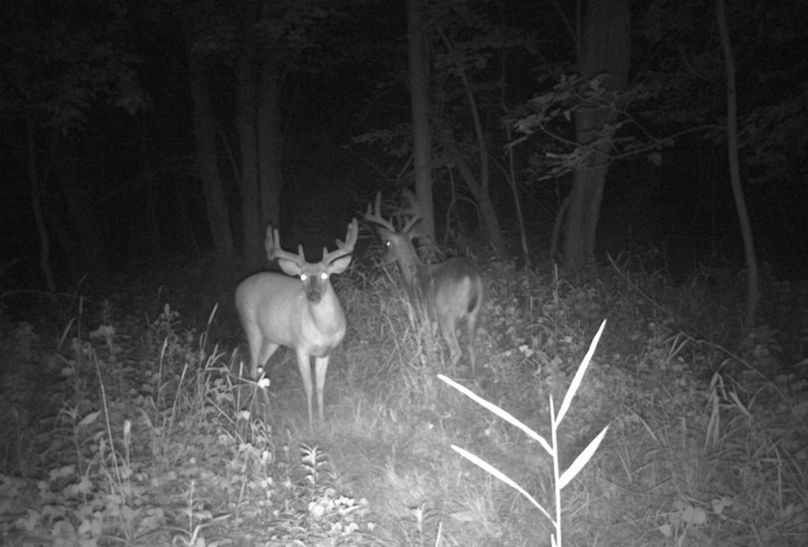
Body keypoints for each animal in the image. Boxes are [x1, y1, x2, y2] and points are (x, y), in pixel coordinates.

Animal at [234, 218, 358, 427]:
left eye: (325, 274)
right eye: (302, 276)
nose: (314, 295)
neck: (324, 330)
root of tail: (238, 288)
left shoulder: (326, 351)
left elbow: (320, 386)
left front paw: (322, 419)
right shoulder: (301, 347)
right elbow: (308, 386)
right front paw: (310, 424)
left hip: (273, 338)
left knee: (260, 366)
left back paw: (268, 408)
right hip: (251, 326)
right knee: (251, 369)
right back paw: (257, 412)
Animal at [364, 192, 484, 374]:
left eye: (387, 243)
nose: (381, 261)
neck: (413, 276)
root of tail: (471, 276)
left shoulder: (422, 313)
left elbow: (427, 343)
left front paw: (428, 363)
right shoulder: (431, 318)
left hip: (446, 315)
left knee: (457, 350)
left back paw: (446, 374)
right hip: (475, 312)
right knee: (472, 348)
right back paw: (473, 375)